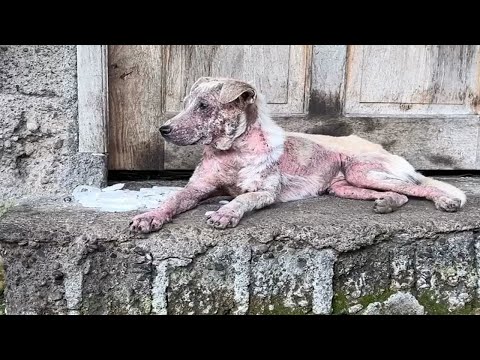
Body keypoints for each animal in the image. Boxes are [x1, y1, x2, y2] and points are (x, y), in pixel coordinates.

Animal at [129, 76, 466, 233]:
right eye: (187, 103)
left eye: (203, 106)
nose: (163, 129)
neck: (233, 153)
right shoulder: (197, 189)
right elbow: (172, 200)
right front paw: (149, 216)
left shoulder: (263, 192)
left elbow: (241, 199)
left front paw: (226, 213)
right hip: (344, 186)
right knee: (401, 194)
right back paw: (387, 204)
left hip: (363, 170)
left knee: (419, 187)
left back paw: (446, 200)